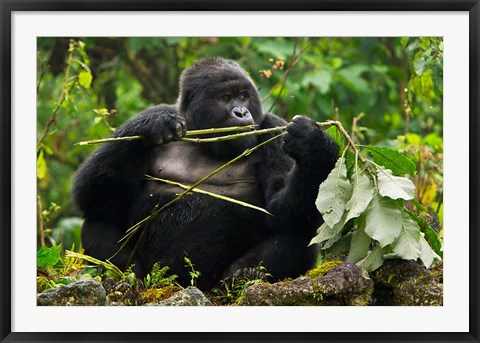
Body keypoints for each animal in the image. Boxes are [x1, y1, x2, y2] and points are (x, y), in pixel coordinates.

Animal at [73, 57, 340, 290]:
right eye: (226, 98)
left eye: (243, 97)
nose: (241, 113)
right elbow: (97, 199)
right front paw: (153, 125)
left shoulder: (273, 129)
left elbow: (281, 210)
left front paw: (313, 145)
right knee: (96, 223)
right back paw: (130, 276)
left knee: (299, 233)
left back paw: (243, 276)